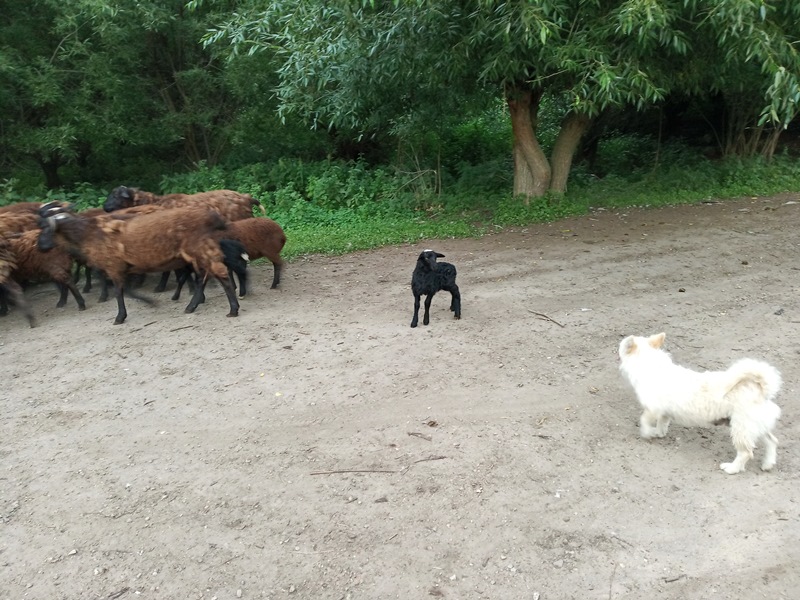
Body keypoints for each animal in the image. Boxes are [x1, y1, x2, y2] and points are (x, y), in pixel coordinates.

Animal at [620, 332, 780, 474]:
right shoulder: (663, 412)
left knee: (746, 452)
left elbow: (644, 420)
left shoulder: (652, 408)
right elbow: (662, 422)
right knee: (772, 441)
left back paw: (732, 468)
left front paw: (648, 433)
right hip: (755, 426)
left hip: (741, 428)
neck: (649, 364)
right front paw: (659, 432)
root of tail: (761, 388)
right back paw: (768, 464)